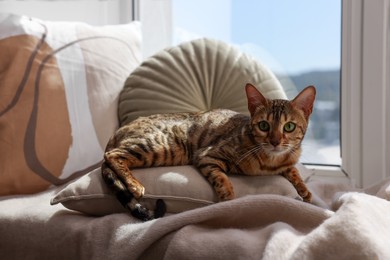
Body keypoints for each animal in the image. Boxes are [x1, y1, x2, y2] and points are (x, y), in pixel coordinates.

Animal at [102, 83, 316, 219]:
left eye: (289, 127)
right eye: (264, 125)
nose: (275, 141)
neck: (270, 162)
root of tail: (118, 131)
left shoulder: (288, 161)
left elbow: (293, 171)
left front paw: (305, 190)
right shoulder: (207, 155)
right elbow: (222, 180)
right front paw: (229, 201)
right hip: (159, 147)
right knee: (112, 155)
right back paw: (135, 185)